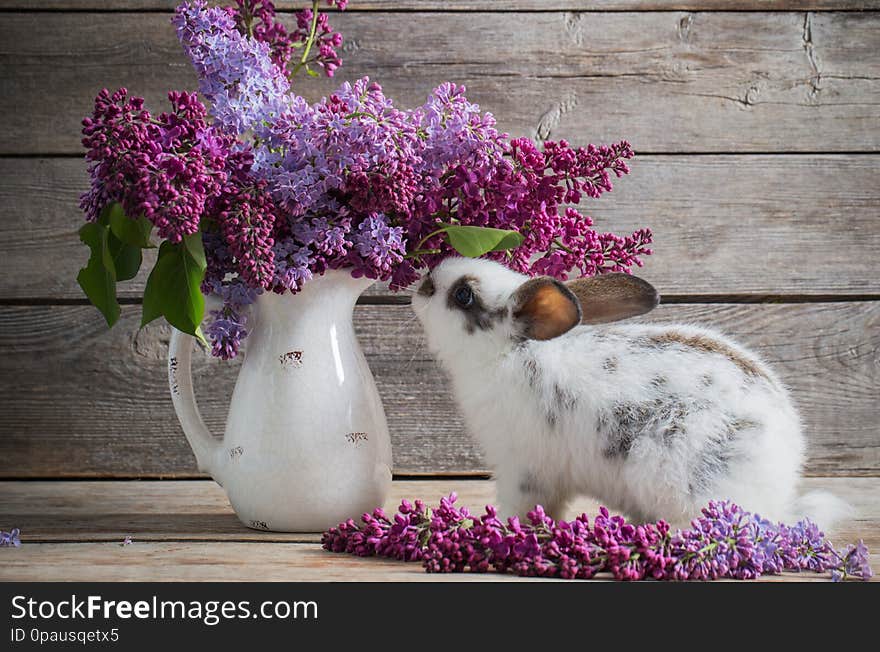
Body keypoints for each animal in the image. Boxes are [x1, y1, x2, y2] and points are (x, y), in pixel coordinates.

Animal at [410, 255, 848, 528]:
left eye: (463, 294)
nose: (422, 281)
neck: (510, 353)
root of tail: (781, 487)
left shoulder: (524, 469)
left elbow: (522, 505)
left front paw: (501, 529)